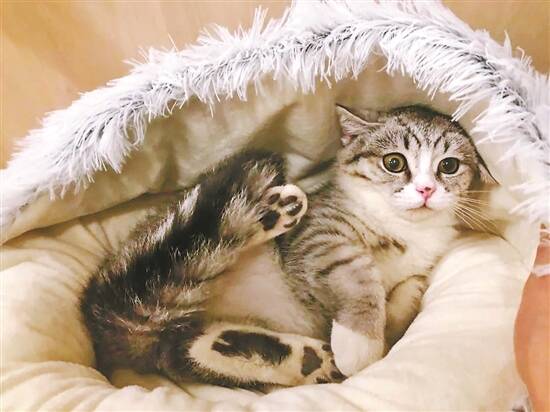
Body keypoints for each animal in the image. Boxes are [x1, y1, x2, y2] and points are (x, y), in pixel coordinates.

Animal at [80, 105, 491, 388]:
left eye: (449, 166)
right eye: (394, 162)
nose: (426, 190)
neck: (404, 231)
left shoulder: (417, 266)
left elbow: (404, 299)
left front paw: (394, 313)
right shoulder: (318, 236)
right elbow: (355, 269)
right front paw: (360, 340)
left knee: (183, 348)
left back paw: (308, 359)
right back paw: (274, 212)